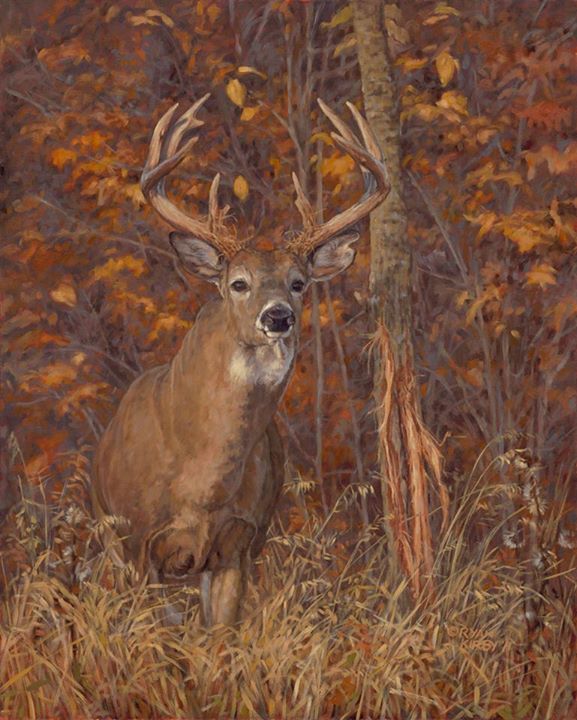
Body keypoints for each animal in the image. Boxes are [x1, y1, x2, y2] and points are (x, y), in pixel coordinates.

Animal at [92, 94, 389, 627]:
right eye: (238, 282)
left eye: (299, 282)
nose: (278, 316)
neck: (202, 480)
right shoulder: (139, 543)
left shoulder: (239, 544)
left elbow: (221, 639)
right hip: (109, 534)